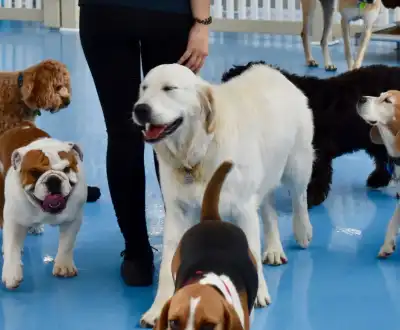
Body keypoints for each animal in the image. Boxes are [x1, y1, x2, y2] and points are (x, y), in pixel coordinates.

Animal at [0, 122, 87, 288]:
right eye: (34, 172)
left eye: (66, 169)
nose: (53, 179)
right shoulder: (14, 221)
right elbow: (12, 246)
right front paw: (11, 273)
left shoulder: (73, 219)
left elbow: (67, 244)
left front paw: (64, 265)